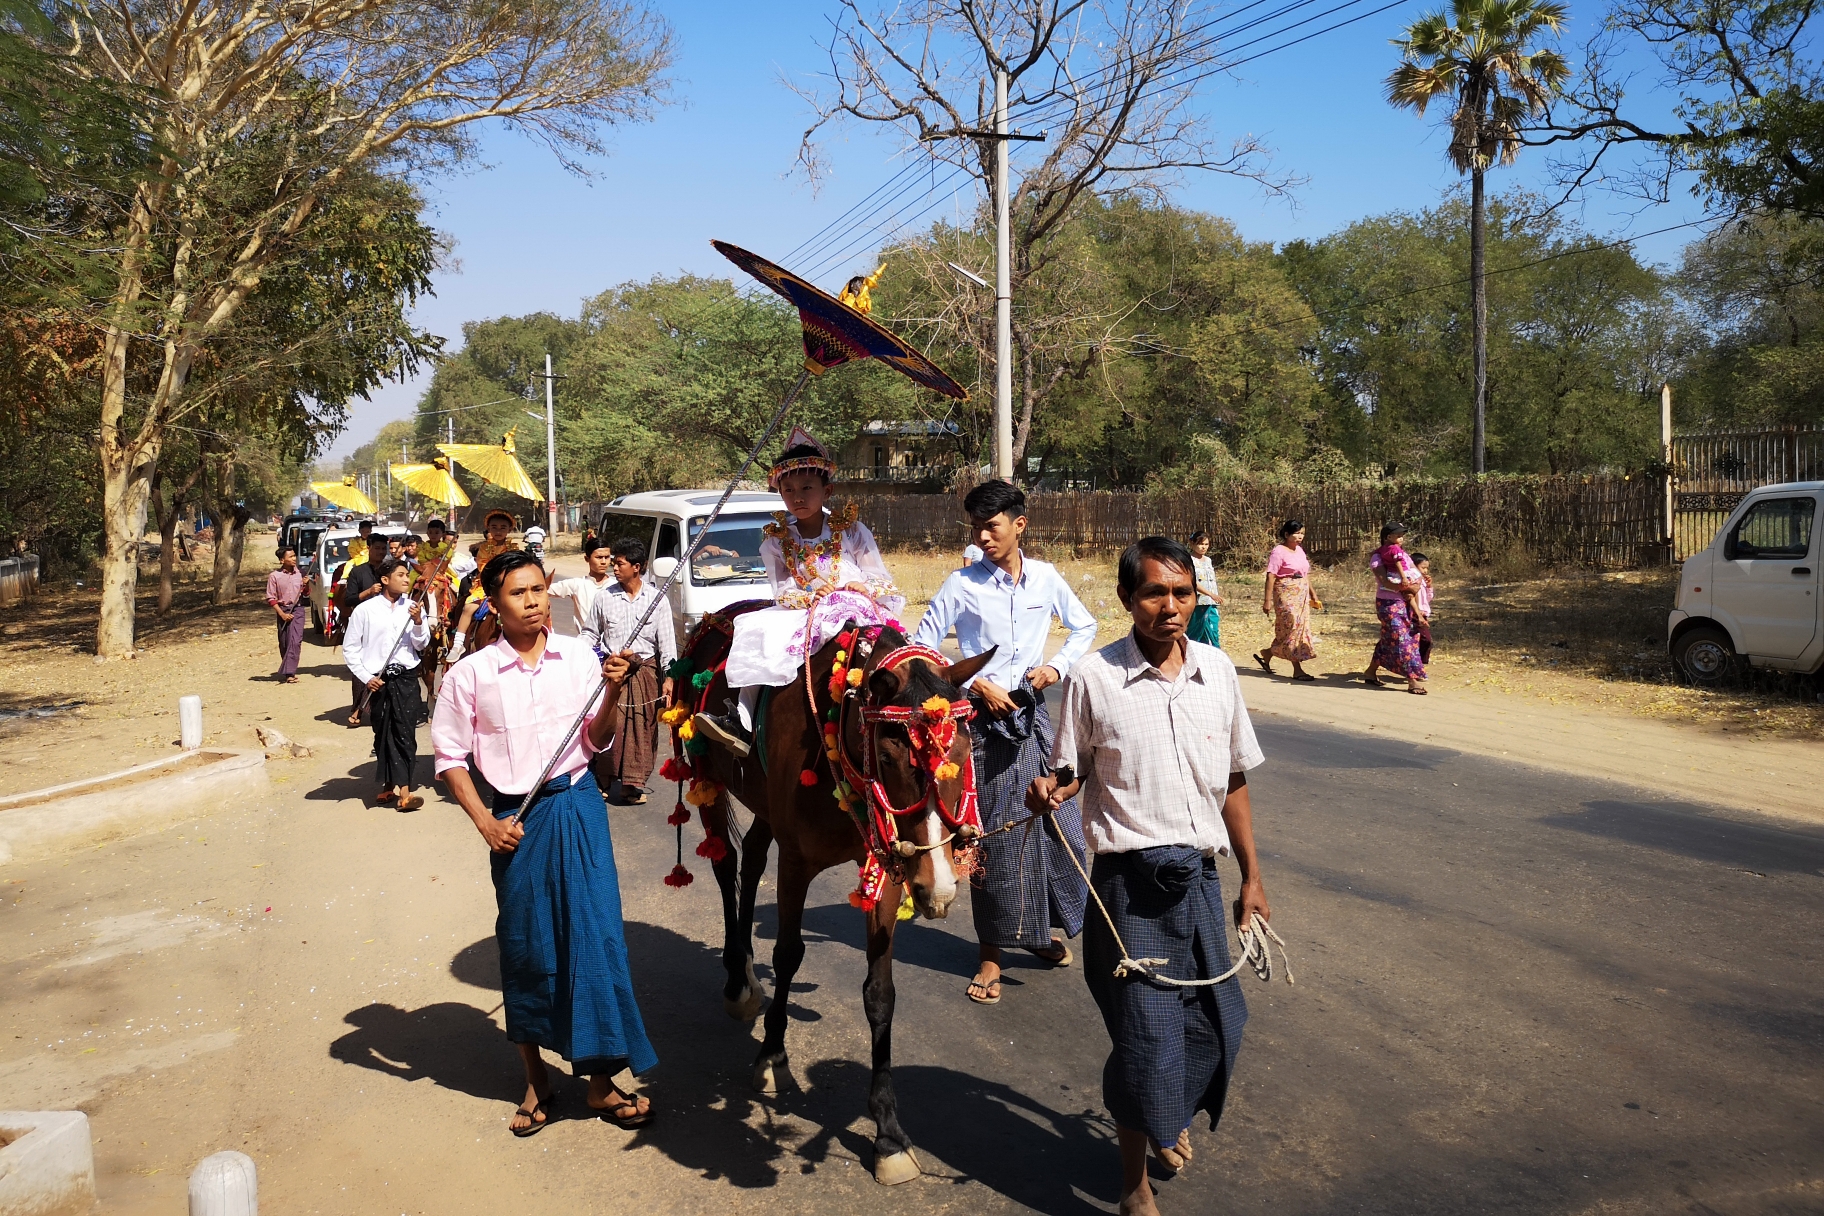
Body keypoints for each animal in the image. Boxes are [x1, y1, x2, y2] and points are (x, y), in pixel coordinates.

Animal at [682, 612, 999, 1181]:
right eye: (891, 756)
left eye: (964, 750)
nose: (938, 887)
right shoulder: (797, 862)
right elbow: (788, 955)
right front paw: (772, 1057)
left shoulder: (888, 864)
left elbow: (880, 992)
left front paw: (888, 1133)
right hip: (707, 781)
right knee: (725, 867)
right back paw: (738, 979)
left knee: (753, 857)